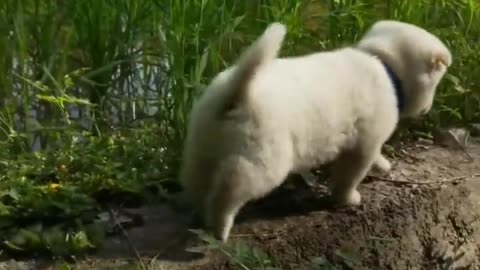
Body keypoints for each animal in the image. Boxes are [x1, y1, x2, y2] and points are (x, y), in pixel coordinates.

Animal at [178, 20, 452, 242]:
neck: (384, 65)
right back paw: (220, 227)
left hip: (201, 148)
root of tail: (236, 92)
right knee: (229, 190)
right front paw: (348, 198)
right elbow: (350, 175)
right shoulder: (364, 143)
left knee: (198, 182)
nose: (426, 109)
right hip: (263, 159)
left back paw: (200, 214)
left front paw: (383, 165)